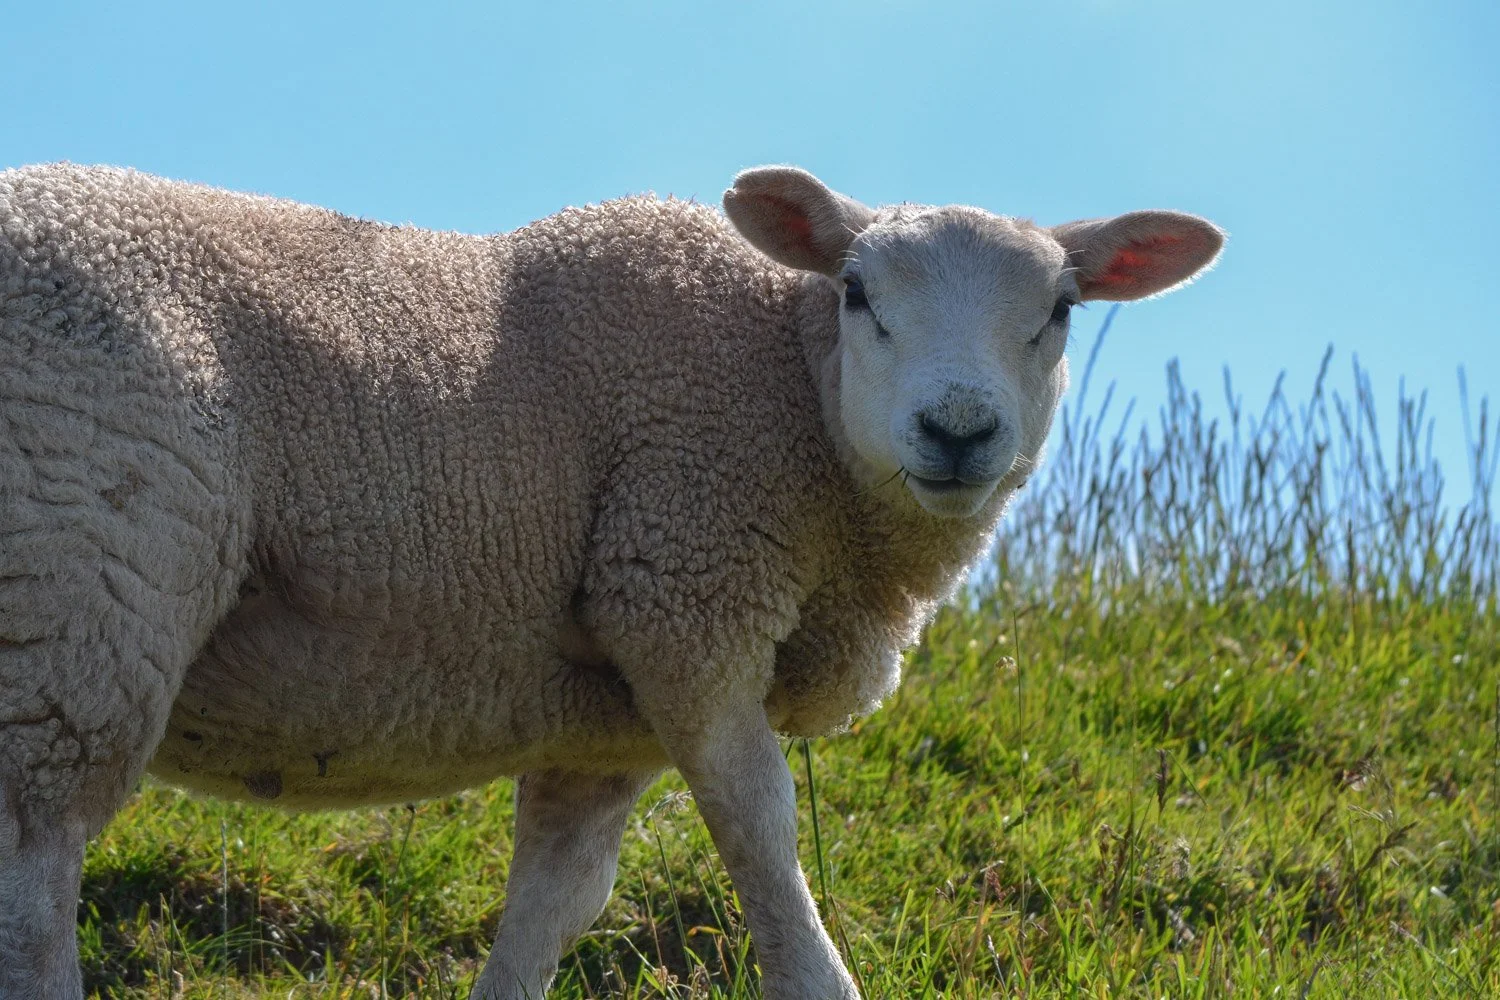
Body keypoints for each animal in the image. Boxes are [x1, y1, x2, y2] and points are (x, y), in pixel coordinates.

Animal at [0, 161, 1222, 999]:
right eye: (856, 291)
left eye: (1060, 310)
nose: (959, 430)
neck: (794, 389)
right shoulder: (686, 595)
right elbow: (766, 833)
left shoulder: (605, 721)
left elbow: (554, 905)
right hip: (78, 576)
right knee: (37, 857)